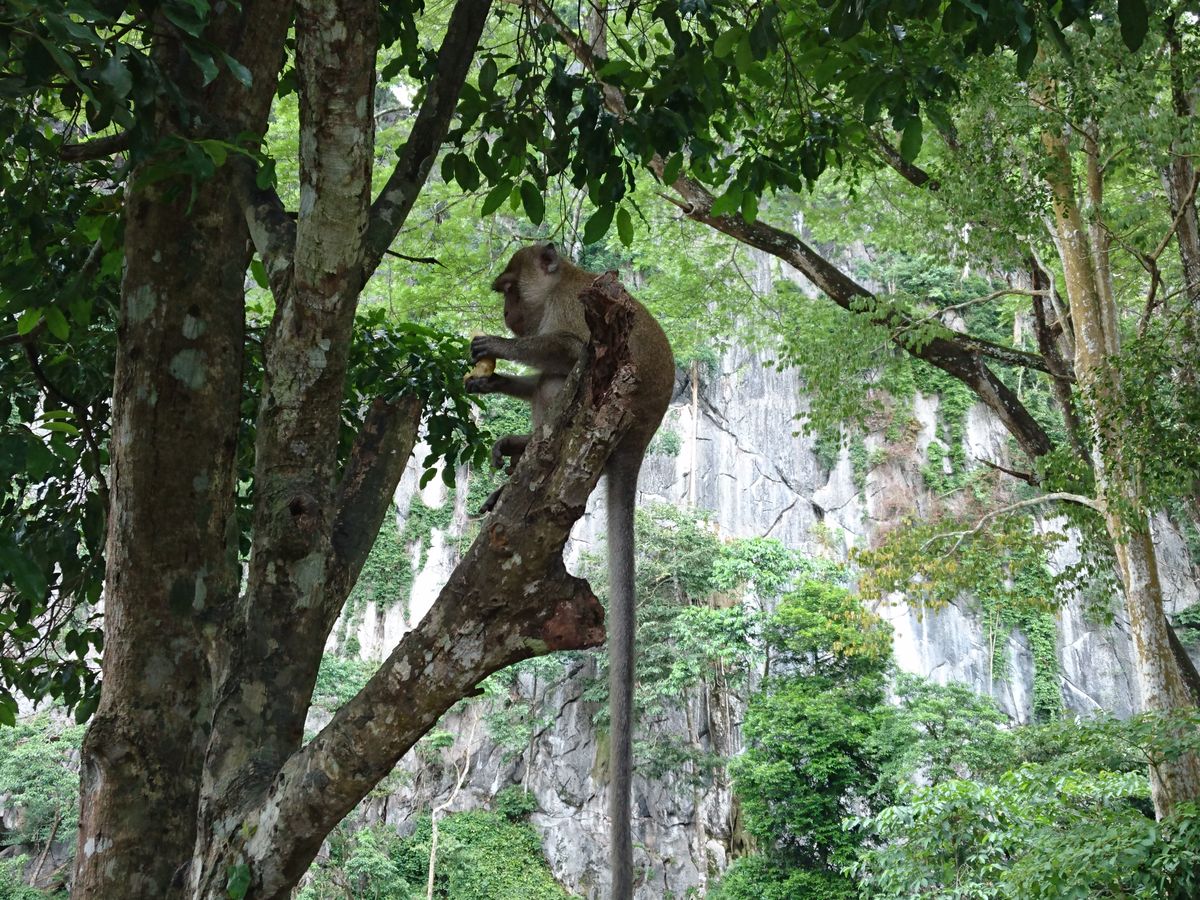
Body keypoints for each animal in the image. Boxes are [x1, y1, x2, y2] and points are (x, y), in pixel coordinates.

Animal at [466, 241, 674, 899]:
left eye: (510, 286)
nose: (508, 315)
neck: (569, 282)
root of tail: (638, 442)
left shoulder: (572, 308)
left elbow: (571, 349)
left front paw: (492, 348)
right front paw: (493, 378)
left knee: (566, 374)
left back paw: (523, 456)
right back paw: (516, 458)